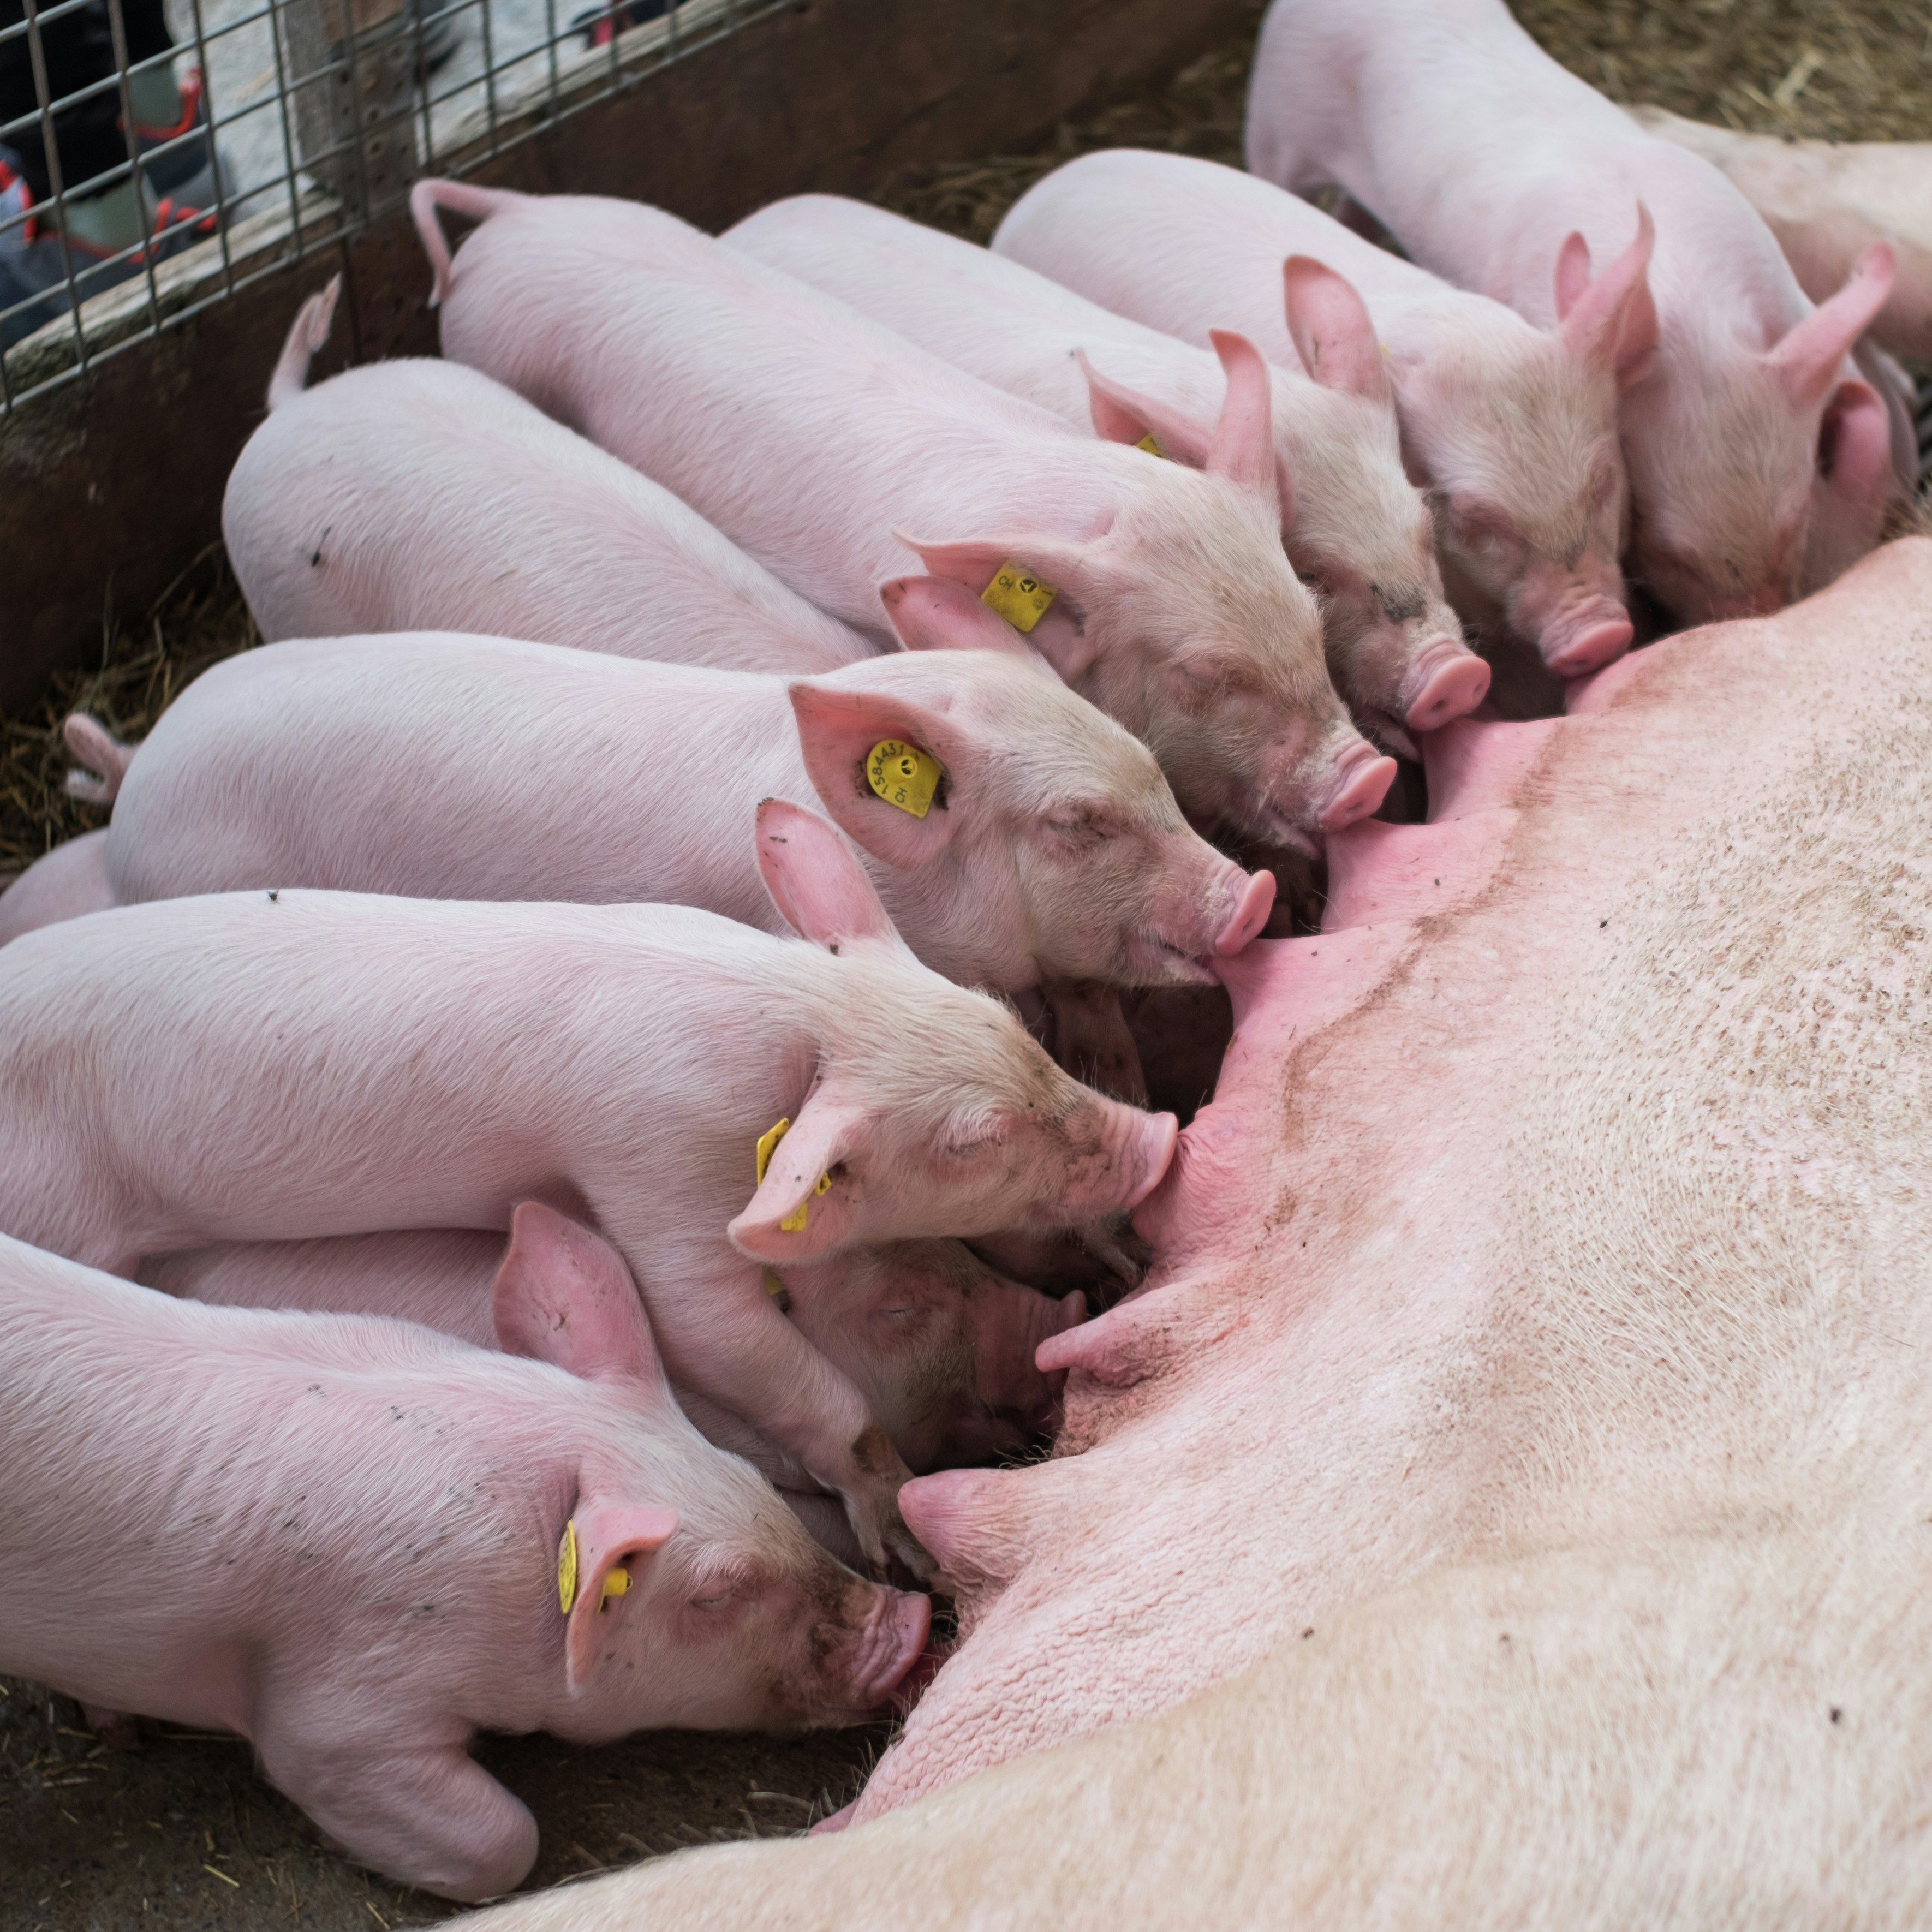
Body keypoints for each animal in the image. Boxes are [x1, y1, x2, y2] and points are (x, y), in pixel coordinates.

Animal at [0, 813, 1174, 1575]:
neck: (782, 1013)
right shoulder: (650, 1157)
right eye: (971, 1143)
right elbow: (711, 1327)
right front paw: (898, 1542)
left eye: (1007, 1021)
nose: (1159, 1136)